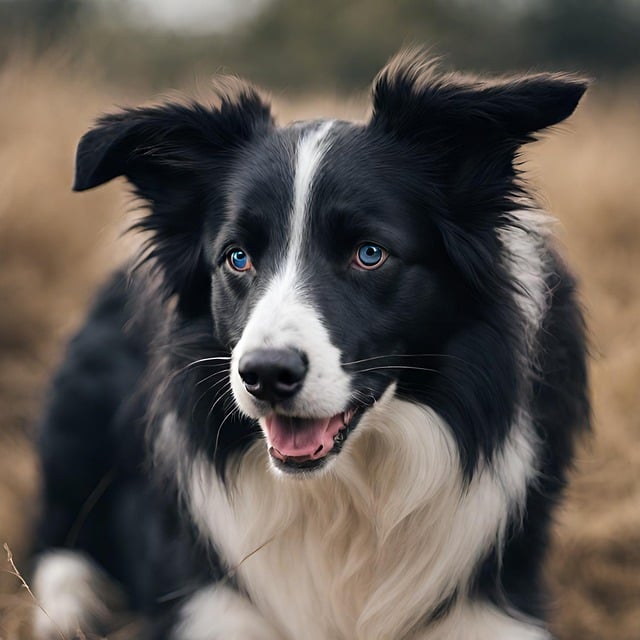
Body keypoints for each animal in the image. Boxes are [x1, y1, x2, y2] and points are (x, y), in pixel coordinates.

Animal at [31, 51, 592, 640]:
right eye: (237, 257)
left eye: (369, 253)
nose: (265, 375)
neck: (344, 493)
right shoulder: (208, 604)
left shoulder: (494, 610)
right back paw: (70, 608)